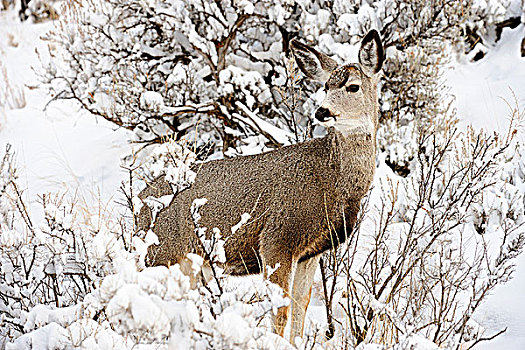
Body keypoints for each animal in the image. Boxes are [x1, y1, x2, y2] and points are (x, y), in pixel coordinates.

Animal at [138, 30, 384, 344]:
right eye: (326, 86)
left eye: (353, 86)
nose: (322, 111)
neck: (332, 180)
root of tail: (139, 203)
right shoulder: (277, 239)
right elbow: (280, 309)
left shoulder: (311, 251)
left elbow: (301, 306)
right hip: (160, 251)